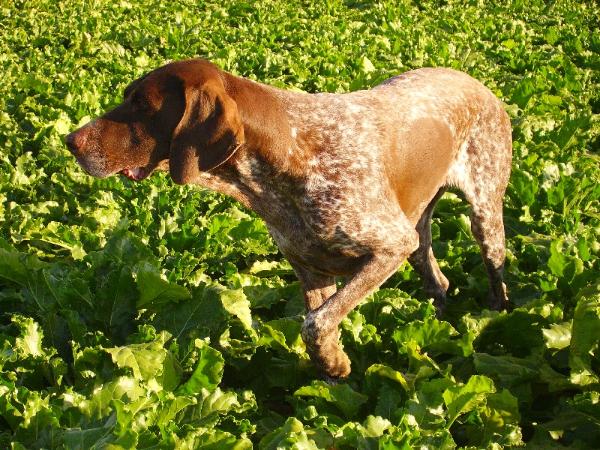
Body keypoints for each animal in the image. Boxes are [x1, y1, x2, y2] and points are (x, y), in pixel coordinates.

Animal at [68, 58, 512, 378]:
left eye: (142, 106)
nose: (69, 140)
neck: (288, 152)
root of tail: (475, 81)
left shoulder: (389, 247)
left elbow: (314, 324)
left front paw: (335, 363)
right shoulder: (310, 267)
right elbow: (318, 321)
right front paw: (332, 369)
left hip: (484, 214)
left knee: (495, 268)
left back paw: (497, 315)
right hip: (419, 228)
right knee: (438, 280)